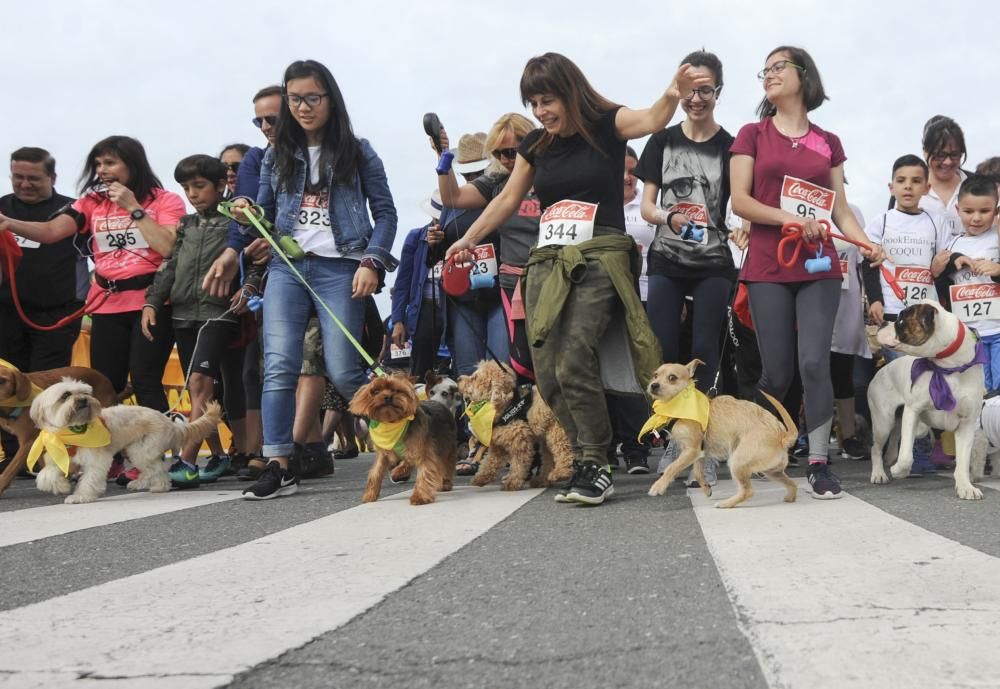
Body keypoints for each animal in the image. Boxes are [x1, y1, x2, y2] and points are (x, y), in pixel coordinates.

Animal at [30, 378, 221, 502]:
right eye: (65, 395)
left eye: (84, 392)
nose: (84, 400)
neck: (72, 432)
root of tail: (168, 421)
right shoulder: (57, 456)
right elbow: (45, 475)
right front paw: (62, 486)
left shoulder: (96, 460)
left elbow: (89, 479)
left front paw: (80, 496)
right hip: (135, 450)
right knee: (153, 469)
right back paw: (144, 484)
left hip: (141, 450)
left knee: (156, 468)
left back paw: (155, 485)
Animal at [348, 370, 458, 506]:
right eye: (376, 391)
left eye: (397, 390)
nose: (387, 397)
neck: (392, 422)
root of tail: (439, 402)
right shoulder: (384, 453)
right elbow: (376, 472)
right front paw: (370, 494)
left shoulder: (422, 449)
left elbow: (424, 471)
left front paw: (419, 497)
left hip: (446, 446)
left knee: (447, 465)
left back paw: (445, 483)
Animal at [458, 360, 576, 490]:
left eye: (475, 377)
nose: (458, 379)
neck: (506, 405)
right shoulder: (498, 445)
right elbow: (490, 462)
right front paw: (480, 478)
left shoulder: (520, 441)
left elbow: (518, 464)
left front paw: (511, 483)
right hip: (547, 436)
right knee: (549, 458)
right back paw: (541, 480)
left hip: (556, 430)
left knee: (564, 451)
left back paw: (561, 473)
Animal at [648, 360, 796, 506]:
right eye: (655, 375)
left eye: (672, 378)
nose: (653, 385)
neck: (680, 405)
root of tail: (782, 436)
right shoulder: (698, 452)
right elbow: (697, 472)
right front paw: (706, 488)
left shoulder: (691, 450)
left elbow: (672, 467)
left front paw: (658, 486)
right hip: (771, 471)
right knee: (792, 483)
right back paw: (790, 497)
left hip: (737, 462)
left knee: (748, 491)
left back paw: (726, 503)